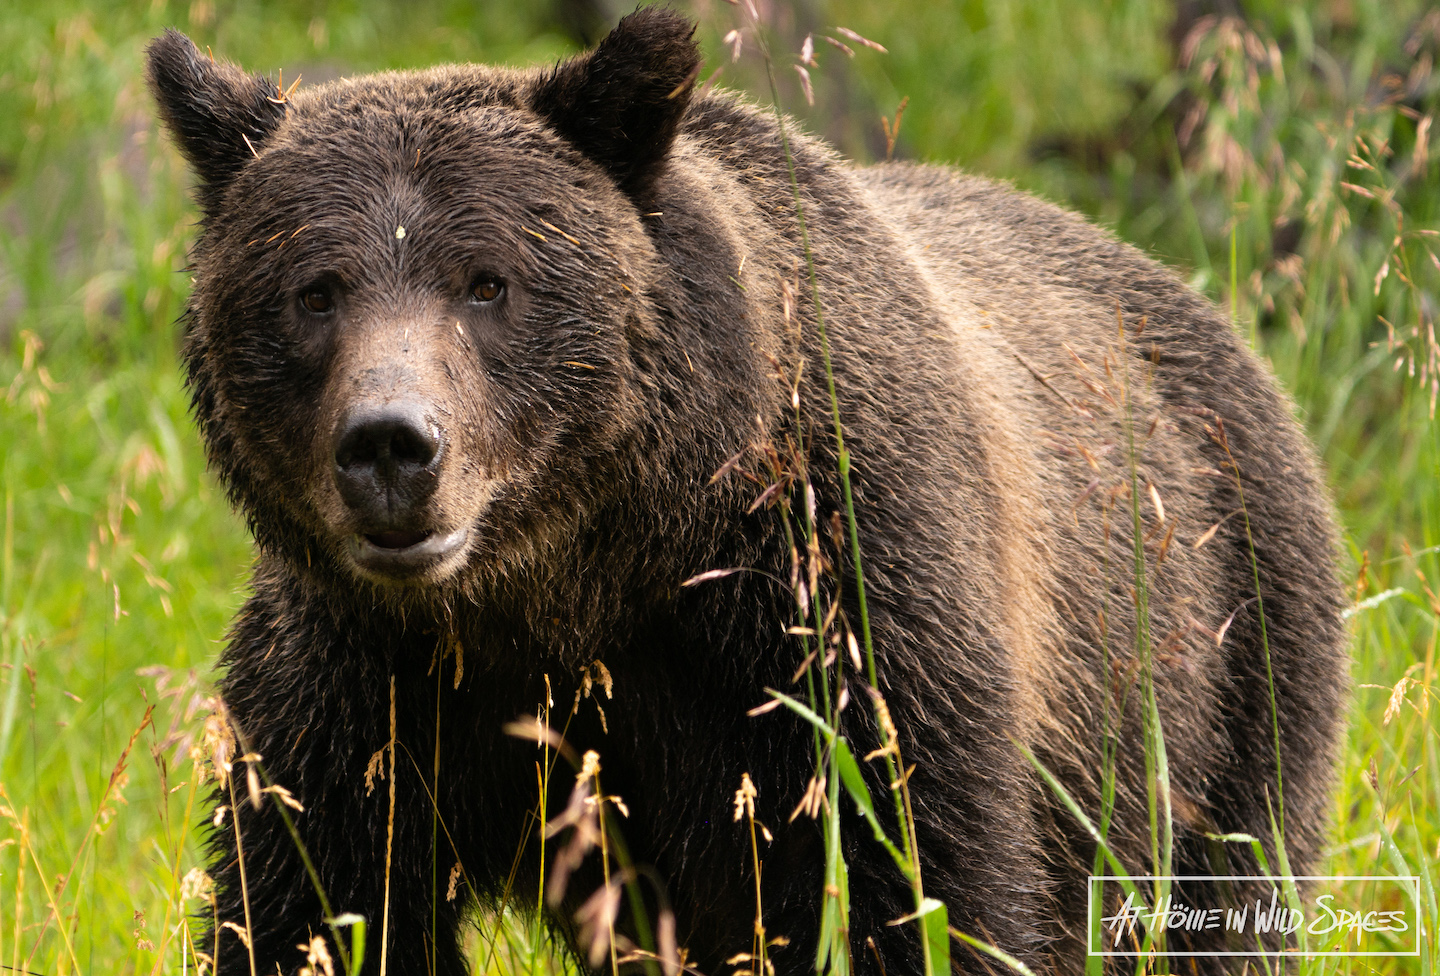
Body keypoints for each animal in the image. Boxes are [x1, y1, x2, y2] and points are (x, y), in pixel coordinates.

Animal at [146, 8, 1346, 975]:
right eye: (314, 289)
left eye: (488, 281)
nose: (393, 446)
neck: (576, 586)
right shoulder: (365, 694)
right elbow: (312, 906)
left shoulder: (835, 616)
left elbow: (914, 885)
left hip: (1220, 657)